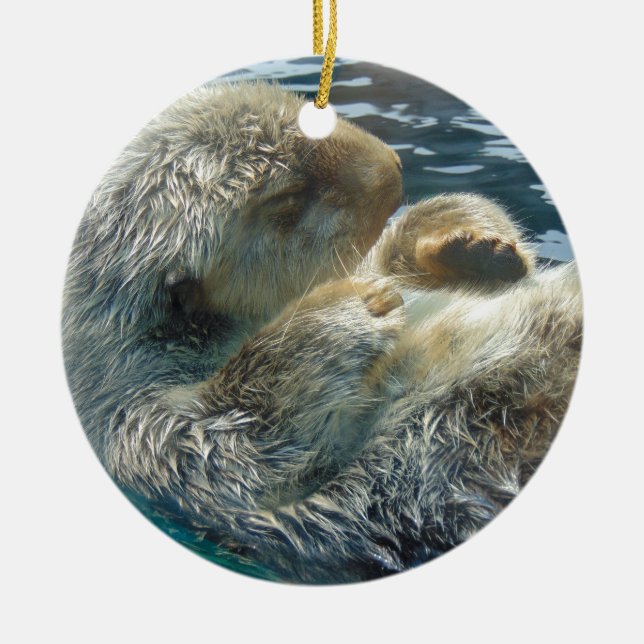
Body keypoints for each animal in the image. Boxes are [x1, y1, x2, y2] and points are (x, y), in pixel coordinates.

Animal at [63, 82, 582, 584]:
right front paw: (349, 309)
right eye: (288, 200)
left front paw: (471, 244)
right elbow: (243, 452)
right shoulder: (150, 439)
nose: (394, 169)